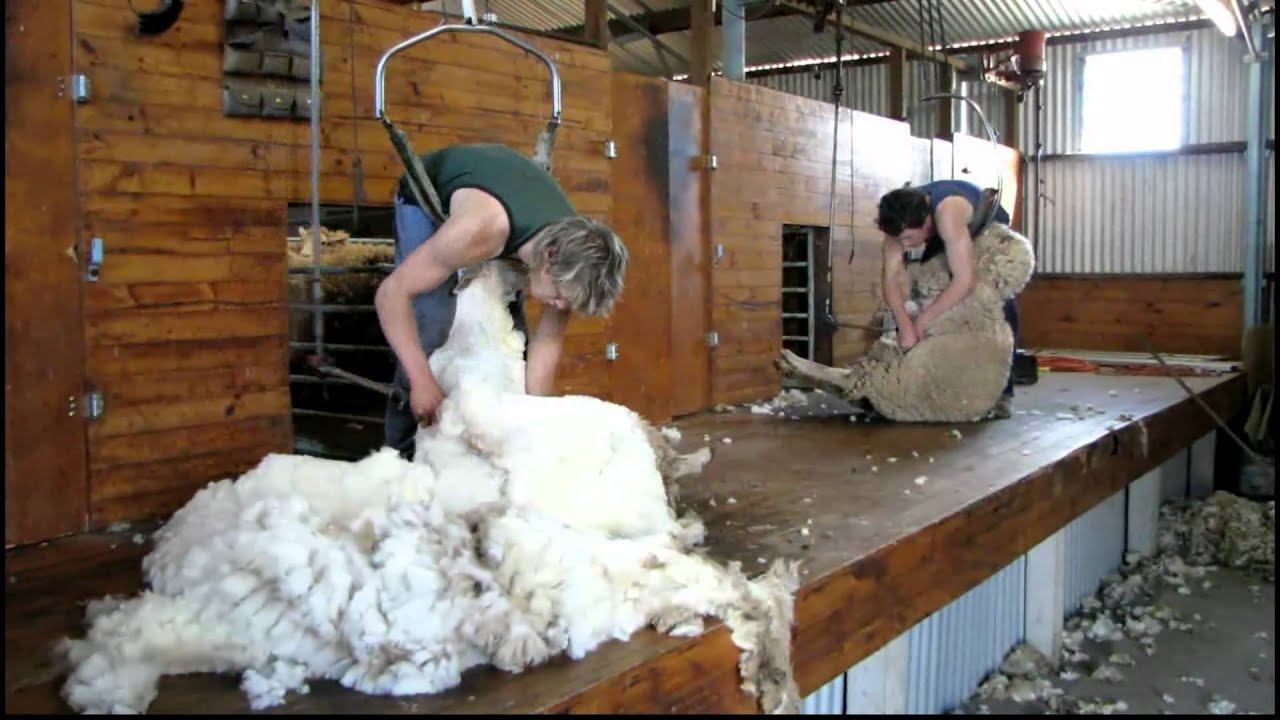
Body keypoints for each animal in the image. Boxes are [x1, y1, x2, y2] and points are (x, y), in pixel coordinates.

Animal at [773, 220, 1034, 420]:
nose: (994, 224)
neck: (988, 285)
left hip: (887, 376)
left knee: (844, 380)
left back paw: (792, 363)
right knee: (843, 384)